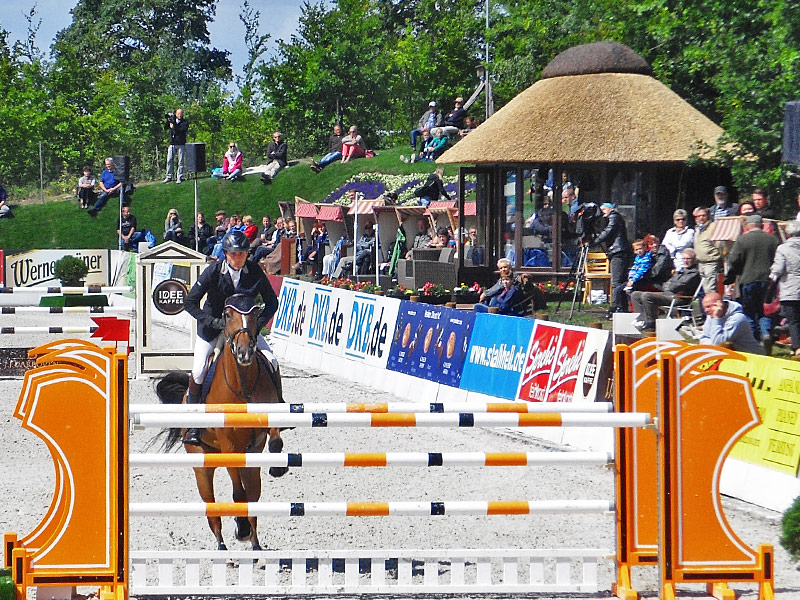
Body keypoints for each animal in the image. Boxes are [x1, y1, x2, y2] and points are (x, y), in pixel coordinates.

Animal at [155, 292, 286, 552]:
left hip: (249, 458)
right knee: (214, 510)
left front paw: (278, 466)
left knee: (253, 495)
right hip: (202, 465)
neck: (243, 385)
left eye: (256, 312)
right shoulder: (229, 445)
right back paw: (226, 546)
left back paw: (255, 545)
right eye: (226, 315)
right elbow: (237, 492)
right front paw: (240, 527)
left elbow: (275, 440)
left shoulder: (263, 429)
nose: (245, 352)